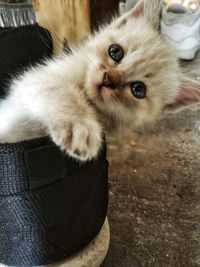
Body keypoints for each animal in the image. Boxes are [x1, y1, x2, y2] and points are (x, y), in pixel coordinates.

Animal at [0, 0, 200, 161]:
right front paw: (80, 126)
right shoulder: (34, 81)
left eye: (138, 89)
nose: (108, 79)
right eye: (115, 51)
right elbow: (62, 92)